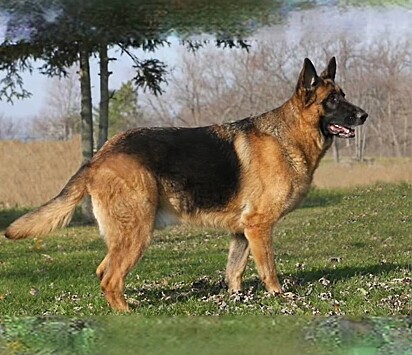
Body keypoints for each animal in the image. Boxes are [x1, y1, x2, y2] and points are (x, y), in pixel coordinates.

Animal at [4, 57, 368, 312]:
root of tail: (99, 156)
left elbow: (234, 270)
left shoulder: (242, 232)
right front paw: (279, 297)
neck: (289, 135)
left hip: (127, 234)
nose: (364, 115)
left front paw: (237, 300)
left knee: (103, 271)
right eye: (332, 101)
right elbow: (269, 268)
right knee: (110, 277)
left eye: (344, 96)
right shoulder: (259, 227)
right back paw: (127, 315)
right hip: (137, 232)